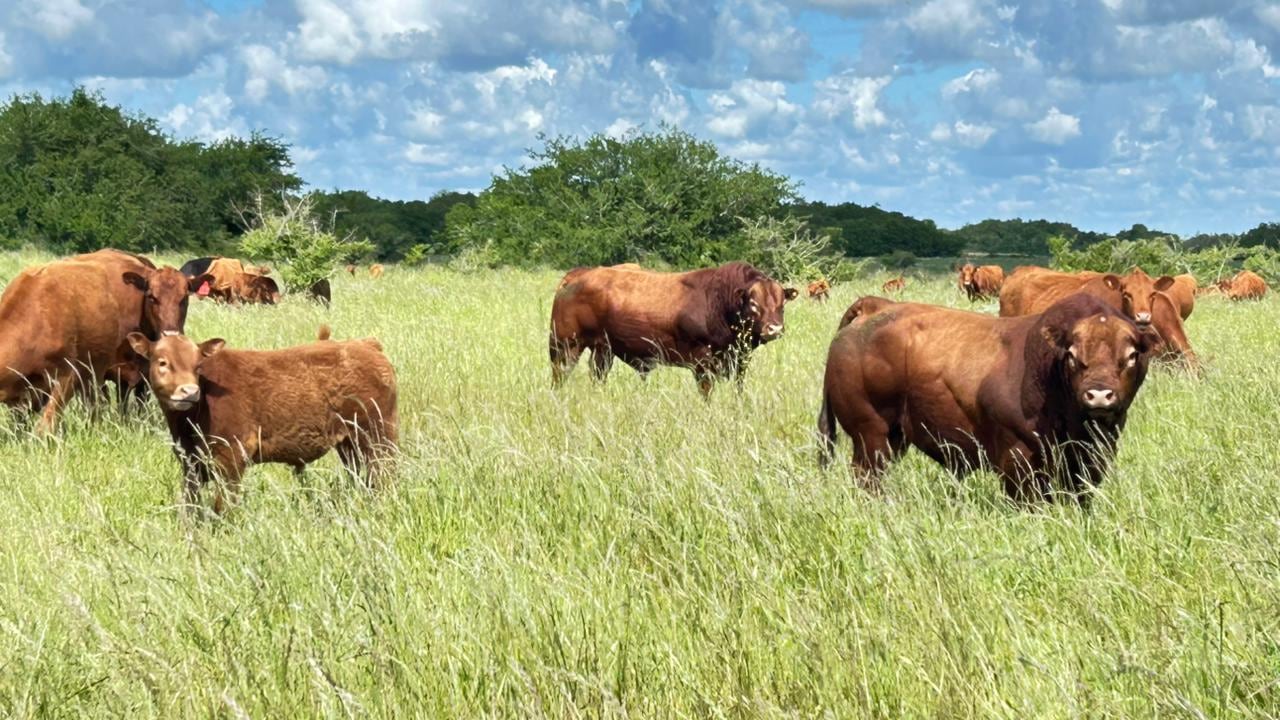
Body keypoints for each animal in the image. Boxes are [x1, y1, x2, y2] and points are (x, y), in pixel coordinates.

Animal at [126, 327, 398, 515]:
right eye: (163, 362)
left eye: (198, 366)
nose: (190, 391)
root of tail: (366, 345)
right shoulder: (190, 463)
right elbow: (191, 505)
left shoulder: (231, 458)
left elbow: (223, 506)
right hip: (350, 444)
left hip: (379, 436)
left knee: (385, 476)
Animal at [549, 261, 798, 395]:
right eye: (754, 303)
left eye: (782, 304)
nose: (774, 328)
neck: (720, 302)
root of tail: (580, 274)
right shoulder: (702, 362)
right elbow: (707, 391)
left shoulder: (739, 360)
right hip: (565, 346)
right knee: (559, 376)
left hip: (603, 350)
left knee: (597, 375)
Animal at [817, 294, 1156, 504]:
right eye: (1072, 355)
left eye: (1131, 355)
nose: (1098, 394)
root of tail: (873, 307)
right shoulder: (1018, 459)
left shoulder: (1092, 455)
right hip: (871, 434)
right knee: (867, 476)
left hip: (895, 437)